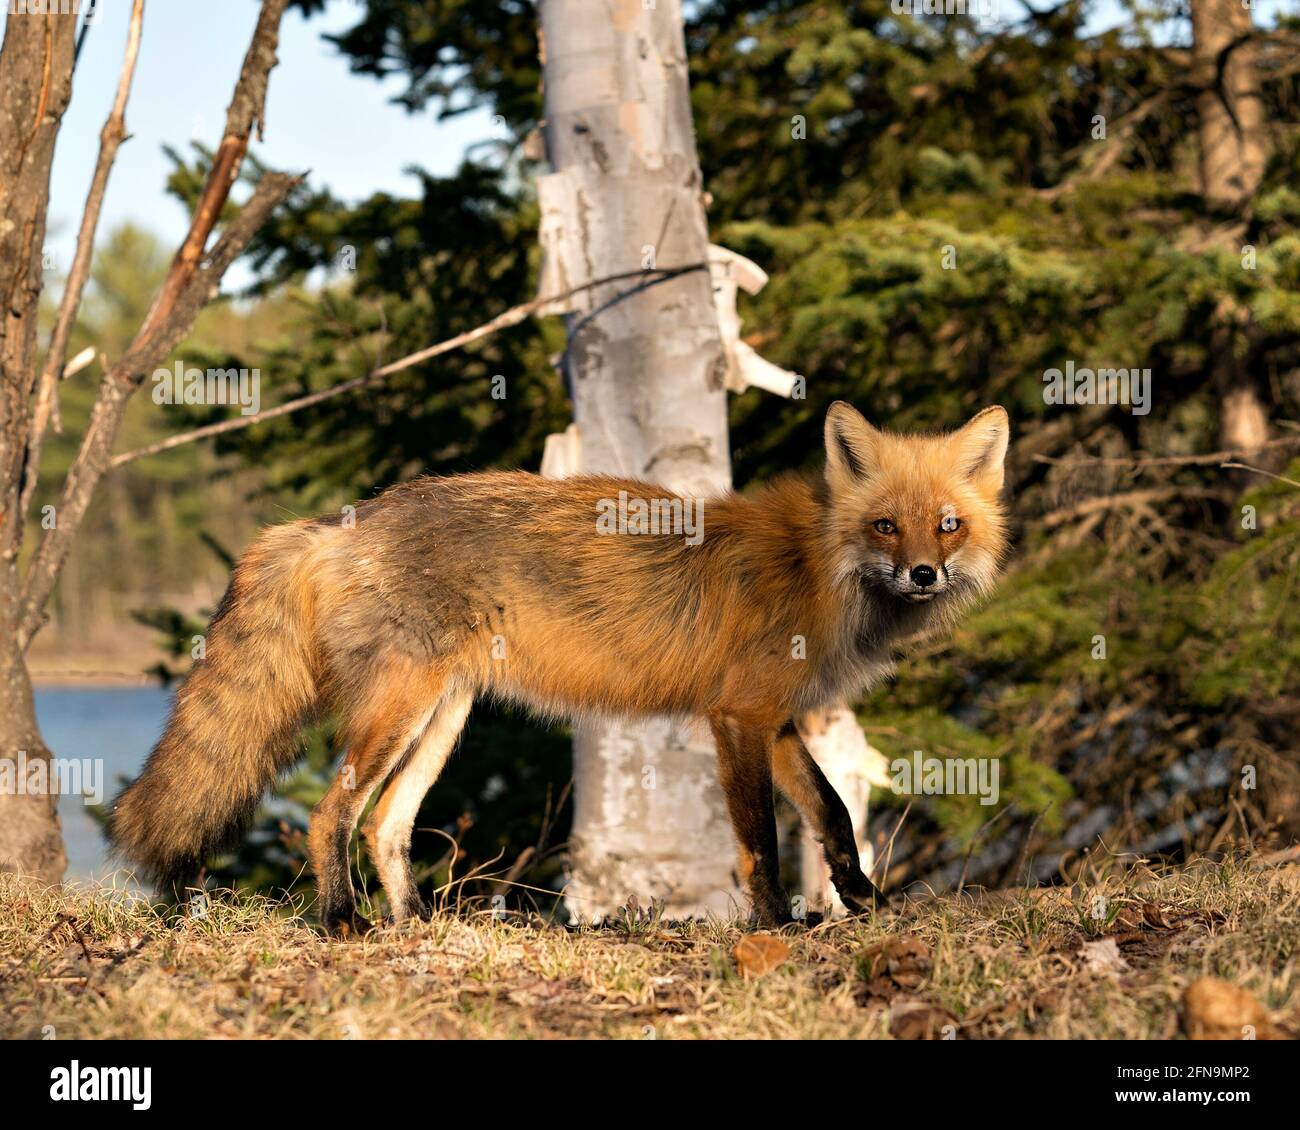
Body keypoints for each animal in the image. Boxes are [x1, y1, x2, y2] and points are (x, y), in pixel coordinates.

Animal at [109, 400, 1003, 931]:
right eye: (885, 526)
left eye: (947, 525)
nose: (924, 575)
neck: (816, 568)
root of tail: (343, 519)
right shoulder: (739, 717)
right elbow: (761, 841)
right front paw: (774, 927)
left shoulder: (776, 719)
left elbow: (834, 817)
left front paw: (863, 901)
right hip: (402, 709)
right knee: (330, 812)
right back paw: (340, 923)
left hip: (444, 718)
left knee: (385, 824)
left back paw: (414, 926)